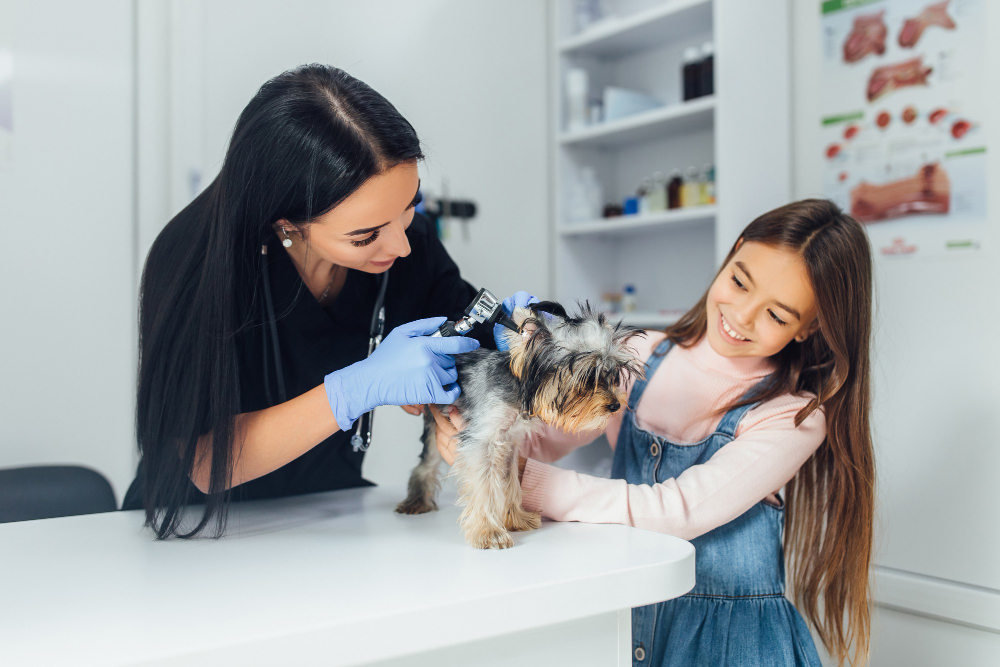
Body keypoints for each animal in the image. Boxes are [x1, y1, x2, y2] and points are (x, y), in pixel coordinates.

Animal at [394, 306, 644, 552]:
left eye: (611, 374)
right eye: (587, 377)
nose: (615, 405)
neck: (519, 391)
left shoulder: (509, 442)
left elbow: (510, 481)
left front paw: (515, 518)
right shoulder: (482, 441)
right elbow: (485, 485)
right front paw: (489, 532)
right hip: (435, 420)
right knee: (427, 462)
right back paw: (416, 501)